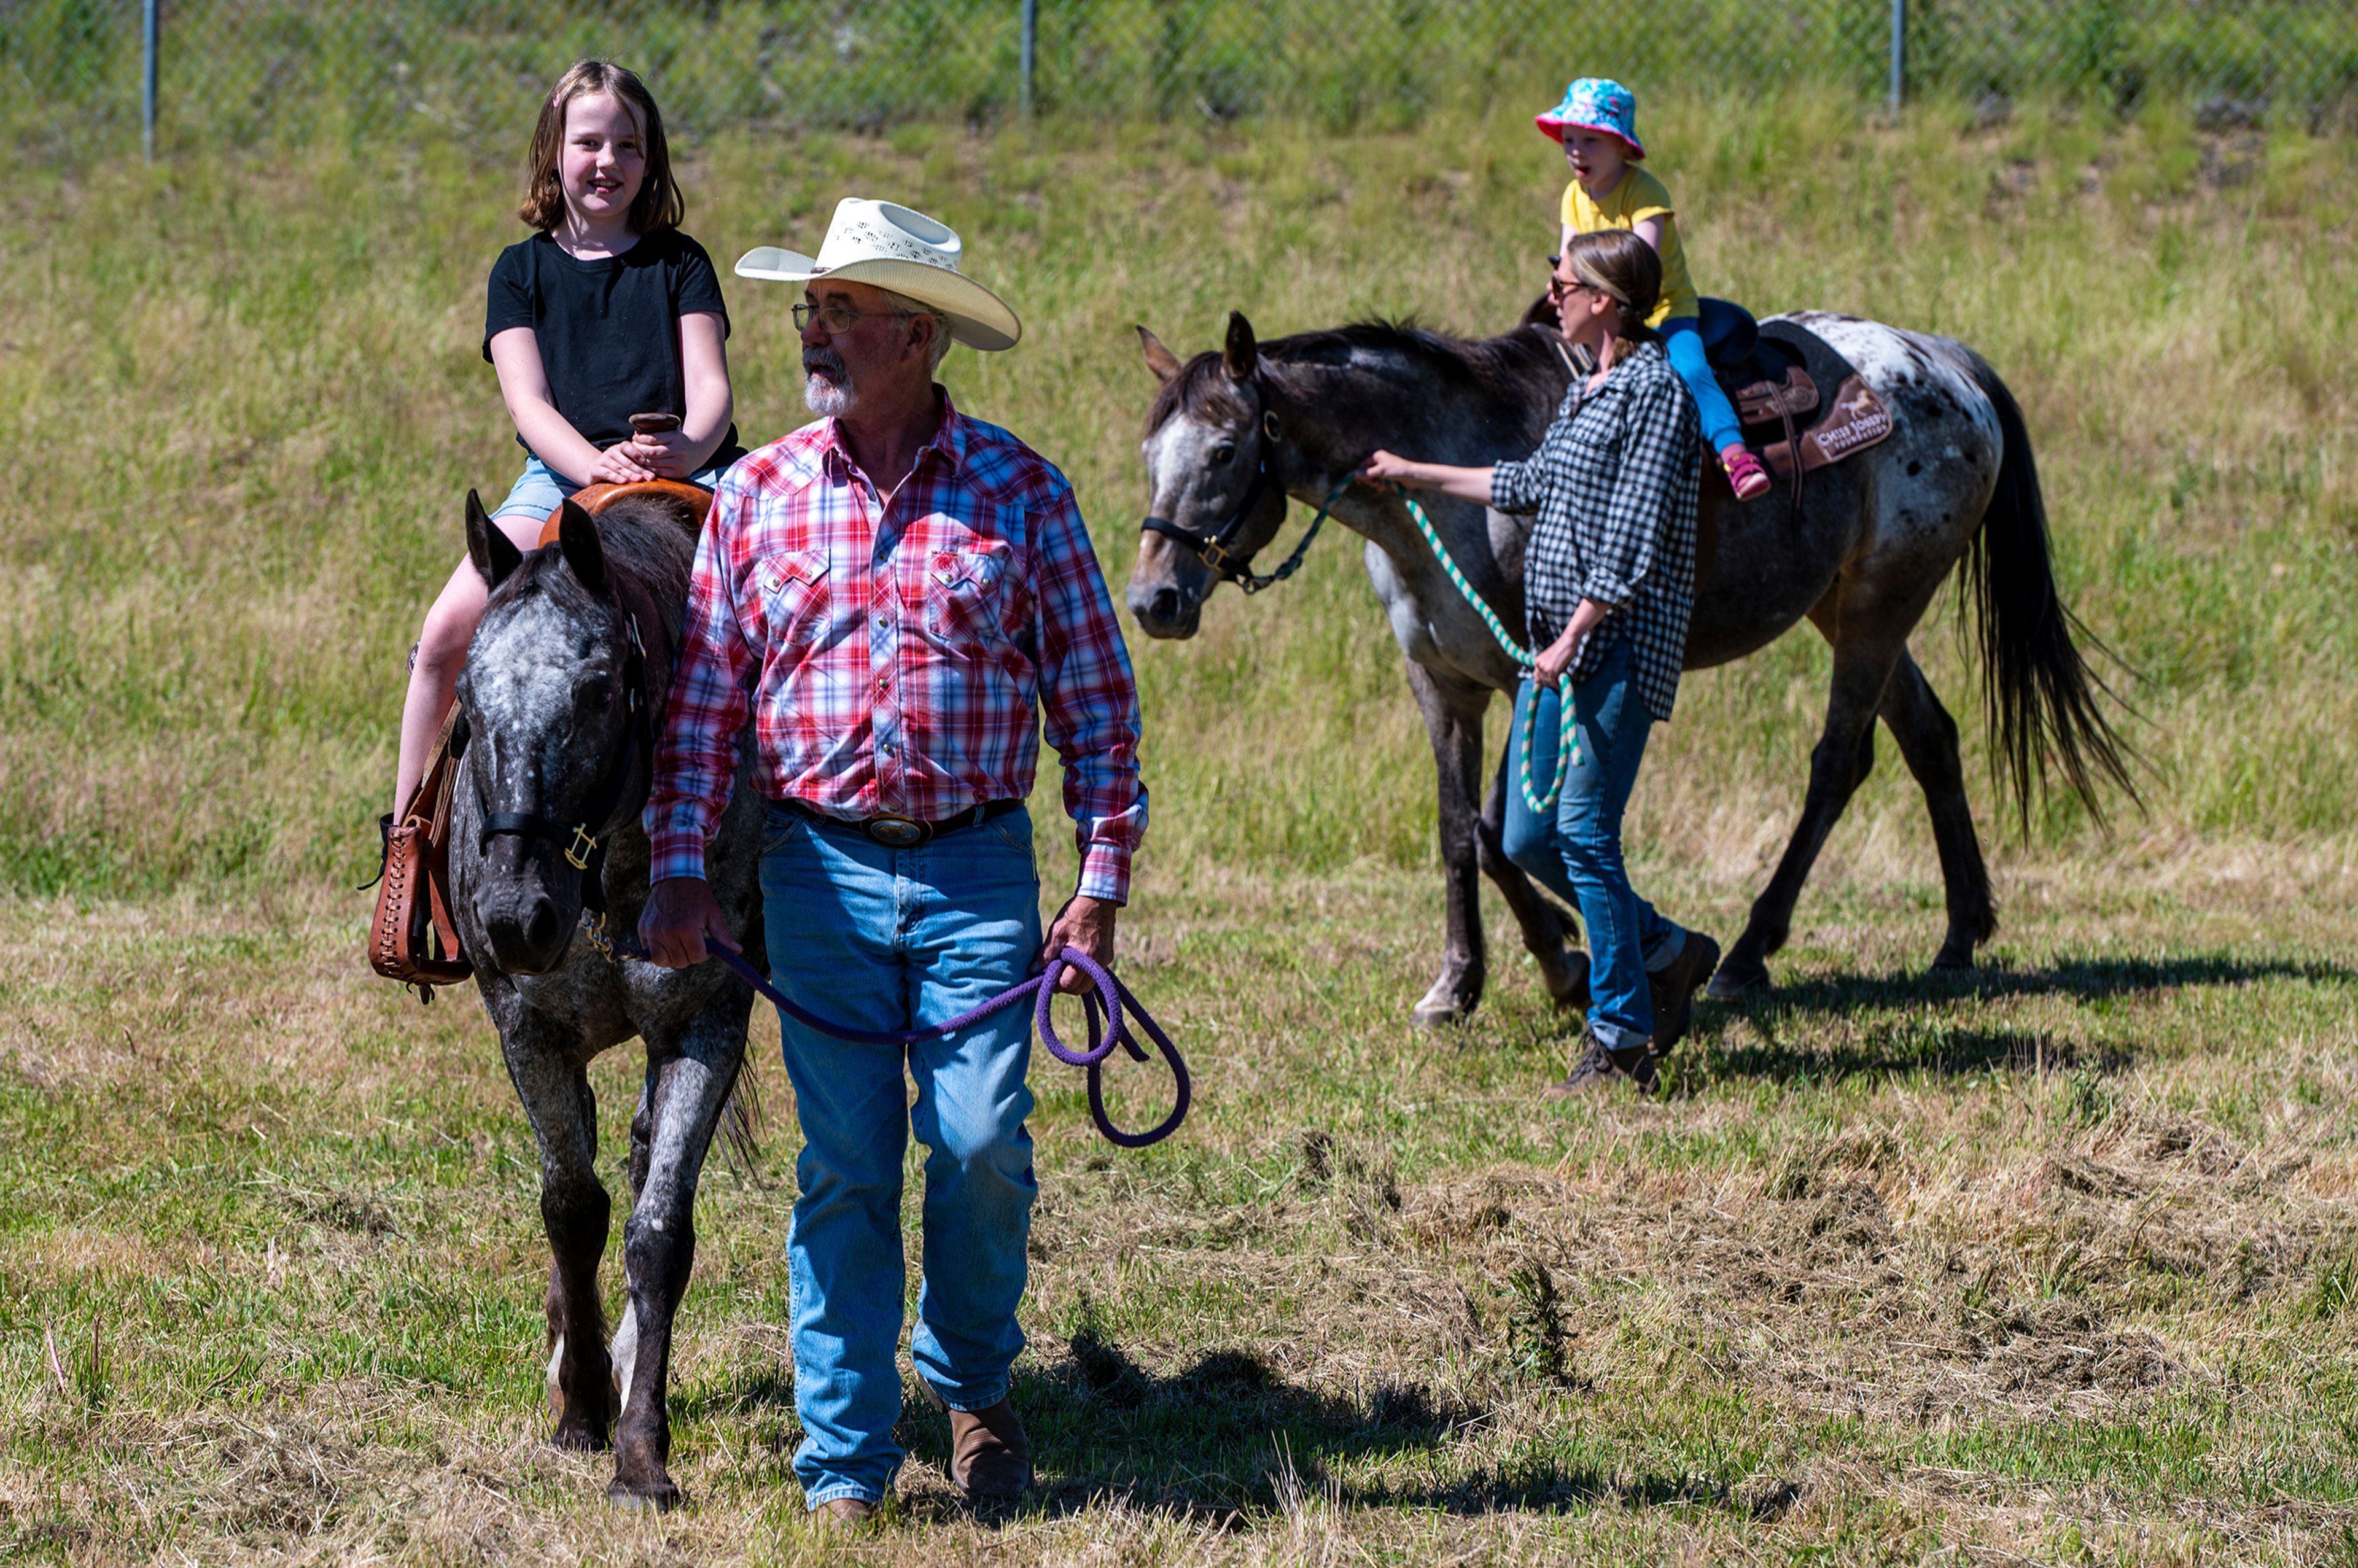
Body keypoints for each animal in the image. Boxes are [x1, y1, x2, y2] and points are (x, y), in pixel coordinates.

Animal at [443, 490, 764, 1508]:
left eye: (593, 691)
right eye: (467, 700)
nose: (514, 916)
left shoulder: (703, 1027)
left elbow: (657, 1232)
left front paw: (640, 1454)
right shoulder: (530, 1030)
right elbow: (571, 1209)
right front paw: (581, 1408)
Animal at [1122, 311, 2141, 1023]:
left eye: (1224, 449)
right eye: (1149, 453)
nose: (1153, 601)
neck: (1452, 479)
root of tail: (1943, 362)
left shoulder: (1530, 672)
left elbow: (1496, 832)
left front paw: (1567, 961)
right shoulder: (1440, 685)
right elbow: (1458, 832)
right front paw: (1458, 983)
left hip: (1880, 604)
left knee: (1837, 763)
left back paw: (1750, 953)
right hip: (1850, 603)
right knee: (1931, 738)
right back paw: (1961, 935)